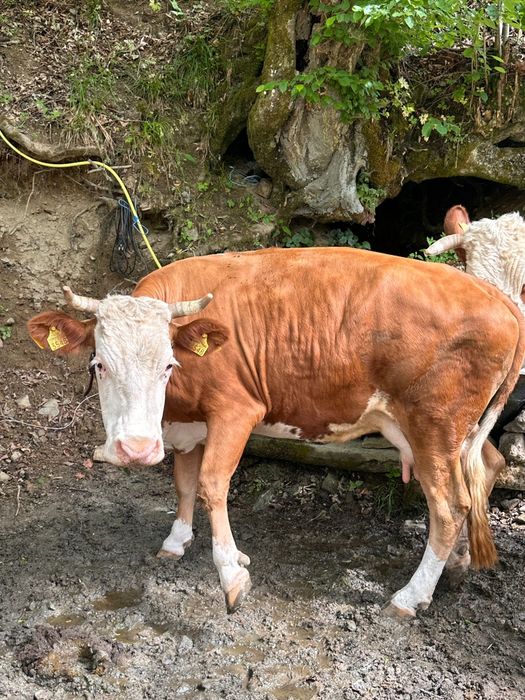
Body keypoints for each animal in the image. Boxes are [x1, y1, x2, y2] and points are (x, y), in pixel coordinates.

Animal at [28, 247, 525, 618]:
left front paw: (231, 574)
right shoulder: (185, 423)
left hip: (433, 427)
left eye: (168, 365)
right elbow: (184, 483)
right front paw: (176, 541)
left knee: (450, 507)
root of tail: (496, 296)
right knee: (485, 469)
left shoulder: (236, 409)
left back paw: (410, 596)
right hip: (445, 432)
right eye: (98, 364)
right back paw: (457, 566)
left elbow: (211, 484)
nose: (136, 449)